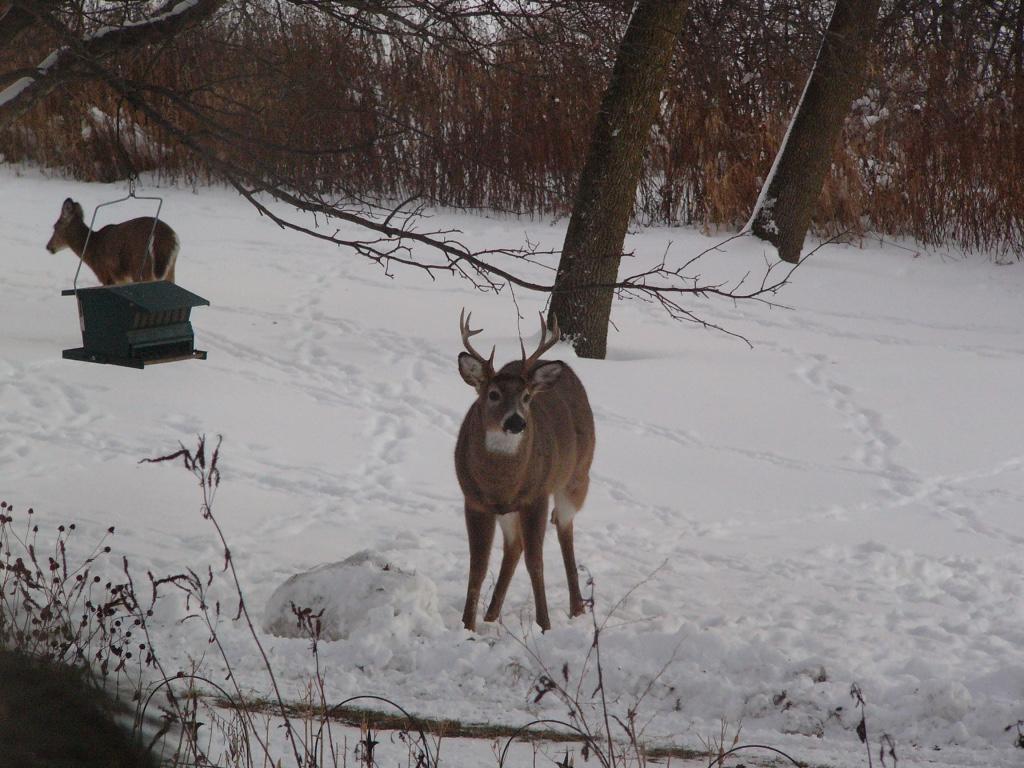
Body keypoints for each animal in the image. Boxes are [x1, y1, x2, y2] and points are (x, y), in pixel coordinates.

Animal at [46, 198, 179, 286]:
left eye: (55, 227)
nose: (48, 246)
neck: (92, 248)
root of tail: (164, 237)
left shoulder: (106, 276)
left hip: (141, 268)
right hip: (169, 270)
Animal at [454, 309, 598, 634]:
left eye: (527, 397)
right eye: (493, 394)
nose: (516, 422)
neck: (501, 483)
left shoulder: (536, 497)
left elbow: (536, 562)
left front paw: (544, 625)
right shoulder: (474, 500)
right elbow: (478, 564)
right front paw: (467, 625)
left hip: (577, 476)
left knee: (565, 531)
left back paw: (577, 607)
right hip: (510, 510)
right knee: (514, 546)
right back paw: (491, 614)